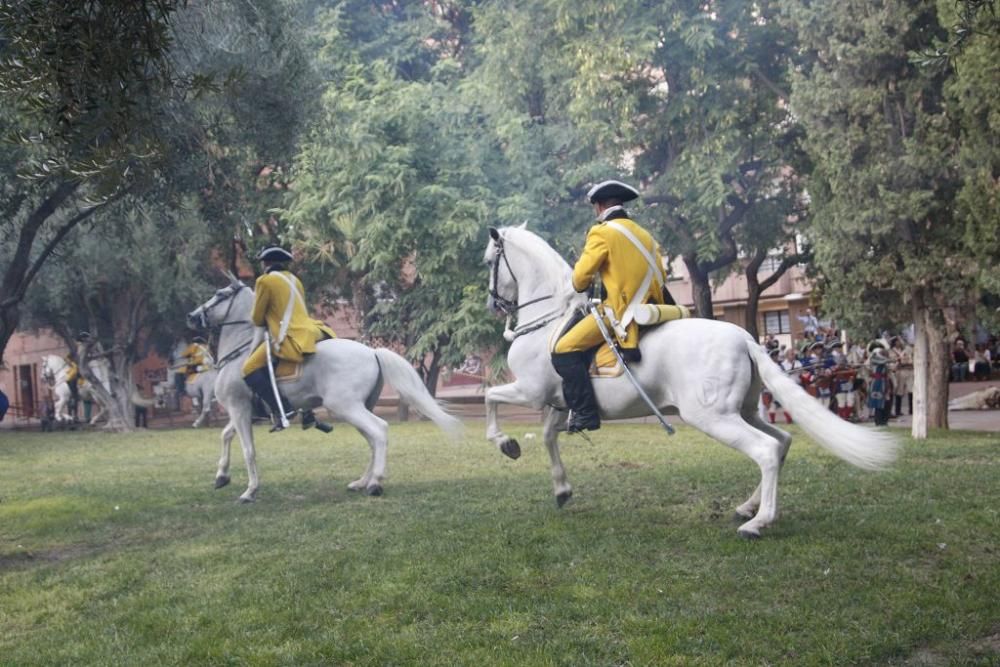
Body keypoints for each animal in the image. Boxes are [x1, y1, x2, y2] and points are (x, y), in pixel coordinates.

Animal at [187, 276, 460, 500]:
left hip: (345, 407)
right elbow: (226, 435)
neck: (239, 354)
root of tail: (372, 352)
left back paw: (375, 483)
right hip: (356, 408)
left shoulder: (239, 408)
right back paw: (362, 482)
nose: (192, 316)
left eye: (220, 294)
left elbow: (248, 449)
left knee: (379, 431)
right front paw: (221, 475)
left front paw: (250, 490)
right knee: (373, 440)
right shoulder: (244, 411)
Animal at [482, 227, 900, 540]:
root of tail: (743, 337)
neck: (547, 320)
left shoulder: (530, 391)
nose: (493, 305)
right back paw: (749, 507)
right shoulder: (561, 402)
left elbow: (490, 397)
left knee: (766, 450)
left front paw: (505, 444)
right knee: (781, 442)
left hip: (712, 417)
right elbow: (548, 437)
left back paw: (757, 522)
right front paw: (561, 488)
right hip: (743, 411)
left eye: (489, 262)